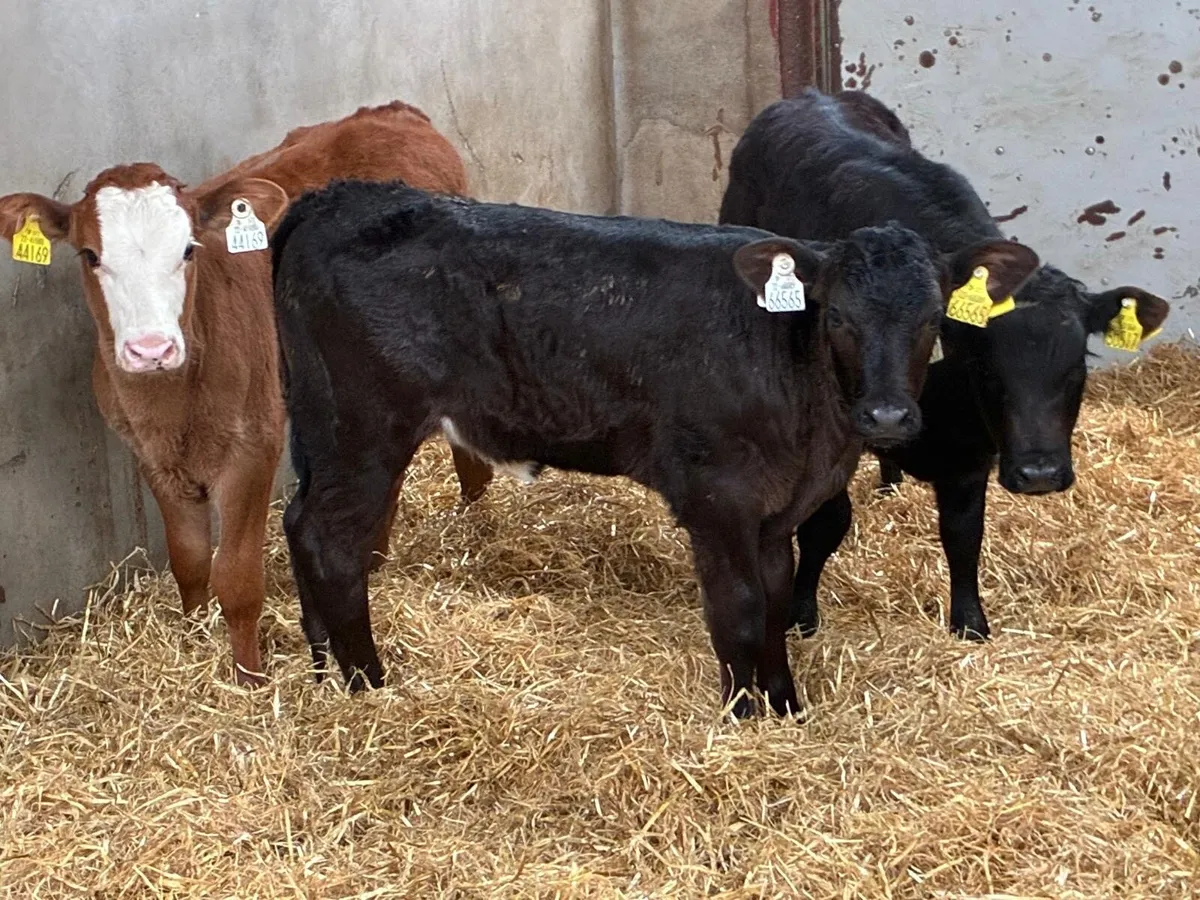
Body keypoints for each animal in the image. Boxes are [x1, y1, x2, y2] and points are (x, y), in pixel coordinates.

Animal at [0, 100, 479, 685]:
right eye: (90, 255)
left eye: (188, 250)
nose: (150, 348)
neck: (173, 404)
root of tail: (393, 113)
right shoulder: (150, 454)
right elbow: (188, 560)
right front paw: (192, 640)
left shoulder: (254, 445)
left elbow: (236, 576)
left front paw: (249, 679)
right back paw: (373, 558)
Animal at [271, 180, 1038, 716]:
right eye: (839, 317)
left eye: (932, 317)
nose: (886, 414)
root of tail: (345, 195)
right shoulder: (716, 497)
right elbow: (739, 608)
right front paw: (741, 716)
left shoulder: (774, 512)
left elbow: (776, 599)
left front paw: (787, 708)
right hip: (365, 429)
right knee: (332, 543)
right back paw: (368, 684)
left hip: (322, 427)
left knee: (298, 524)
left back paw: (323, 668)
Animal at [719, 88, 1170, 641]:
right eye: (986, 365)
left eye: (1077, 364)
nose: (1040, 473)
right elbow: (826, 523)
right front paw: (801, 614)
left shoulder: (970, 457)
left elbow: (963, 534)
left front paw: (970, 624)